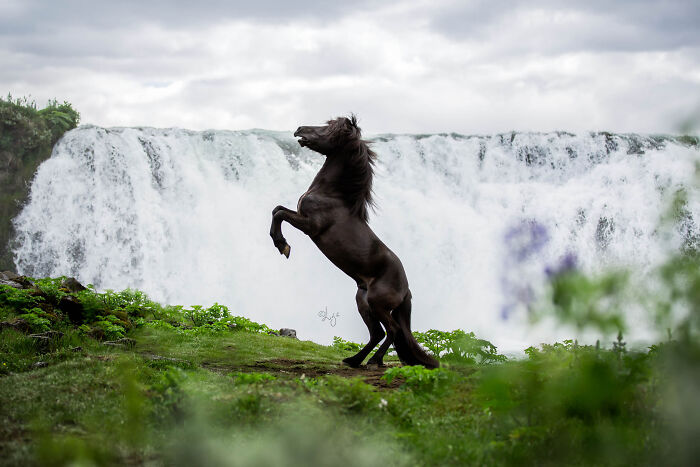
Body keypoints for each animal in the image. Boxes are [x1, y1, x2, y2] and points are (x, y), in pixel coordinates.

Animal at [269, 115, 439, 369]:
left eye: (329, 129)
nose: (299, 129)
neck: (333, 195)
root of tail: (406, 288)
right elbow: (277, 209)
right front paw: (280, 243)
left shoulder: (310, 226)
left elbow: (280, 214)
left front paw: (283, 246)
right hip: (363, 301)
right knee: (377, 333)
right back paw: (354, 360)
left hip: (378, 303)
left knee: (393, 330)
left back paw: (374, 361)